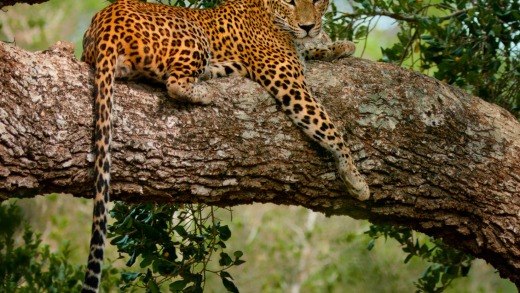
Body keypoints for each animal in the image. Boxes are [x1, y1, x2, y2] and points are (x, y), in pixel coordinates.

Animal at [80, 0, 366, 290]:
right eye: (290, 2)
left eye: (318, 2)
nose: (308, 26)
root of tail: (105, 22)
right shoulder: (291, 86)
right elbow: (328, 127)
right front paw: (355, 178)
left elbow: (311, 49)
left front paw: (339, 46)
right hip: (194, 35)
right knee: (175, 83)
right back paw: (206, 90)